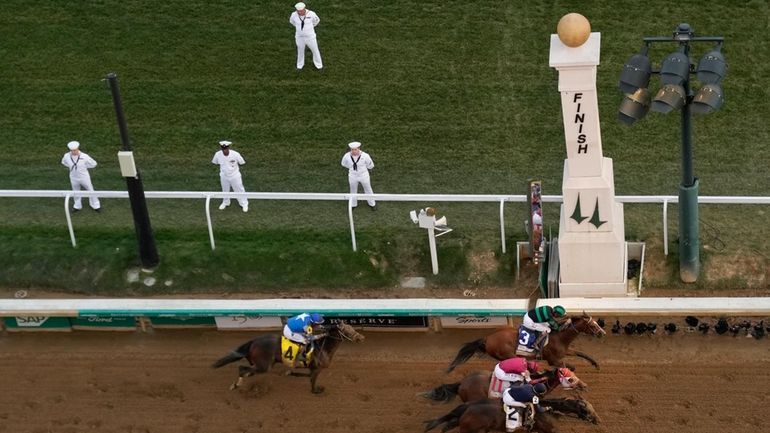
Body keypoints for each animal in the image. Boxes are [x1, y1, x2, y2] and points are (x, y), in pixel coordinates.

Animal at [212, 322, 364, 394]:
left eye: (352, 328)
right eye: (347, 331)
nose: (361, 338)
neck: (323, 347)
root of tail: (253, 341)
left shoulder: (310, 368)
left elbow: (302, 375)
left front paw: (289, 372)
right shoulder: (317, 368)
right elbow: (312, 381)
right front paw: (316, 391)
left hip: (260, 364)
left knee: (245, 369)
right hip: (264, 366)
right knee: (242, 368)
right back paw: (236, 384)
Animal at [444, 314, 608, 372]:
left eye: (596, 322)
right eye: (593, 325)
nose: (602, 333)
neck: (560, 337)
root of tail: (487, 338)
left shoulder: (565, 351)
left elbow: (581, 353)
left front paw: (596, 364)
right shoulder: (553, 360)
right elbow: (570, 367)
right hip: (508, 354)